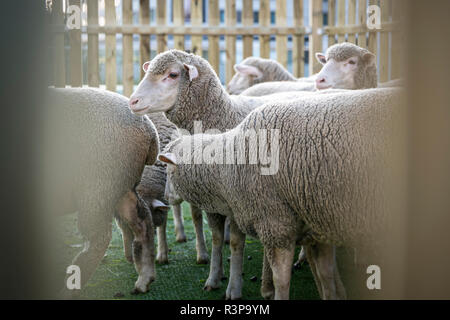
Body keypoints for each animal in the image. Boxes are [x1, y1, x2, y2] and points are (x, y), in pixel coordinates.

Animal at [48, 87, 161, 296]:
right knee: (141, 220)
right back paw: (144, 279)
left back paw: (69, 288)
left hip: (98, 185)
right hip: (121, 185)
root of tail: (149, 130)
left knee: (98, 237)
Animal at [159, 86, 404, 298]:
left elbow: (282, 279)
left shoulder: (276, 224)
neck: (225, 166)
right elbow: (326, 277)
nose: (166, 199)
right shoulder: (319, 222)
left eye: (169, 170)